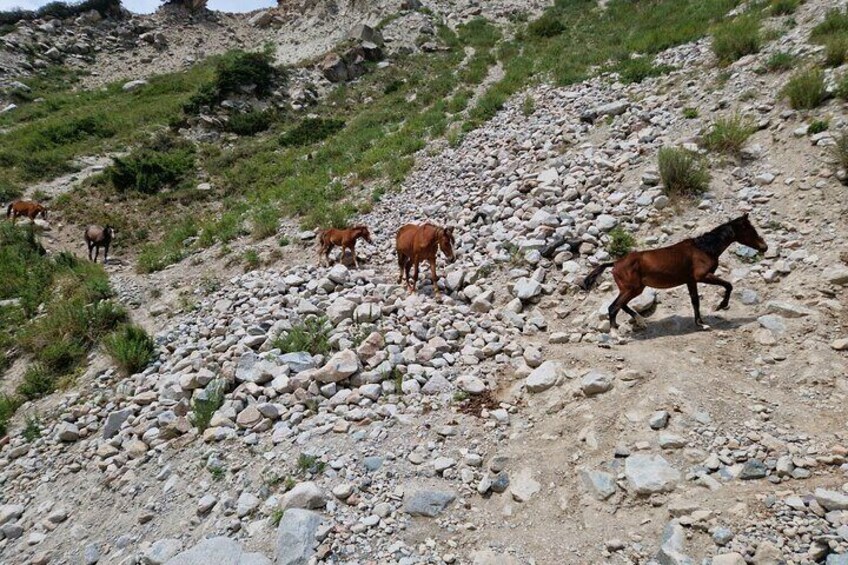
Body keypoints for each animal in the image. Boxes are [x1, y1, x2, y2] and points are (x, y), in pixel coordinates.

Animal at [584, 215, 768, 330]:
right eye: (750, 230)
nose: (764, 247)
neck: (704, 248)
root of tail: (615, 263)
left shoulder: (691, 281)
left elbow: (695, 301)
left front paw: (701, 323)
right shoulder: (702, 276)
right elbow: (728, 285)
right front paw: (720, 306)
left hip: (633, 289)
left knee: (621, 305)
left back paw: (639, 322)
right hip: (632, 289)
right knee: (613, 308)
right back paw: (617, 333)